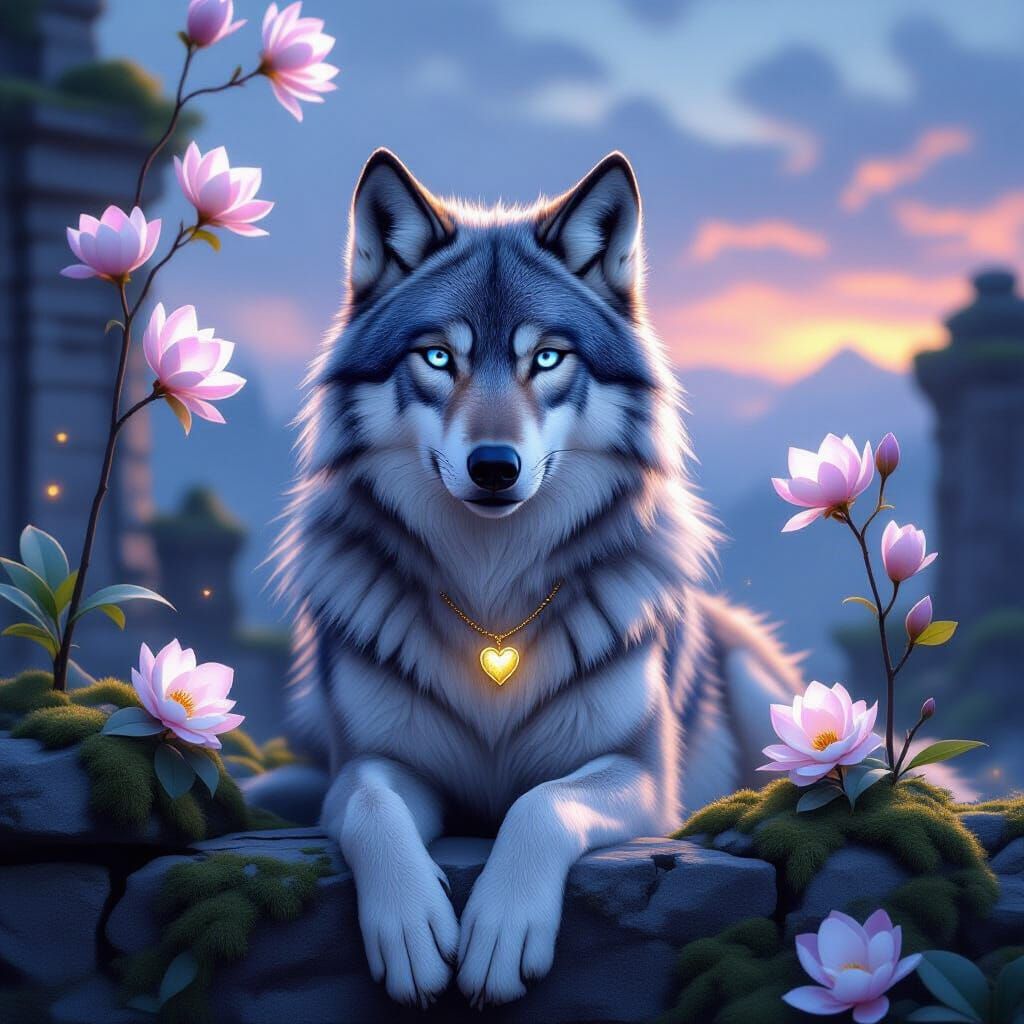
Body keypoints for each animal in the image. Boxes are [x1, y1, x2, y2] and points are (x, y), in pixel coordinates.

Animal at [274, 149, 803, 1008]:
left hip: (763, 696)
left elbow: (539, 802)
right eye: (438, 357)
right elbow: (372, 807)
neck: (492, 595)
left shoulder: (643, 775)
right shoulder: (366, 765)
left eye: (547, 358)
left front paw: (501, 931)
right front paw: (411, 930)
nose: (494, 466)